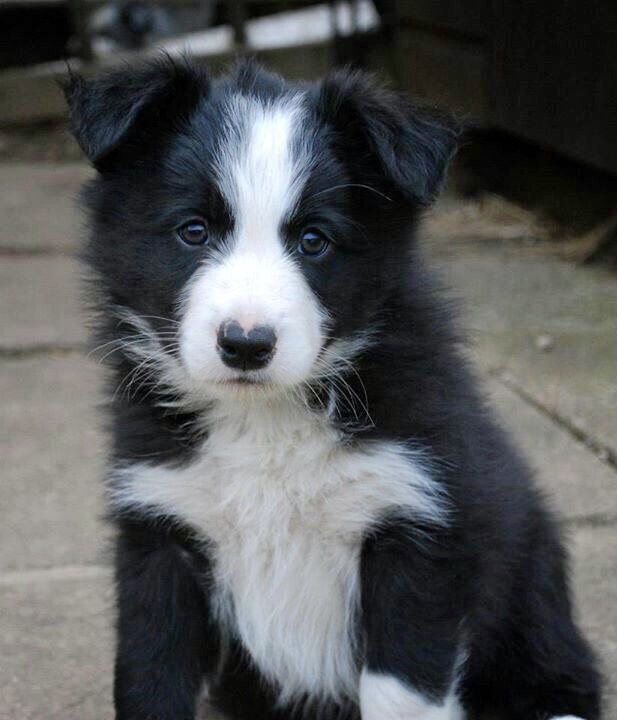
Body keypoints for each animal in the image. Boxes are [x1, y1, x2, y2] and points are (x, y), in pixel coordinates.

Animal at [65, 57, 600, 720]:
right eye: (193, 231)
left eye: (314, 240)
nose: (246, 344)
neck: (265, 418)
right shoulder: (160, 529)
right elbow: (151, 677)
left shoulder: (417, 530)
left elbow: (400, 692)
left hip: (534, 604)